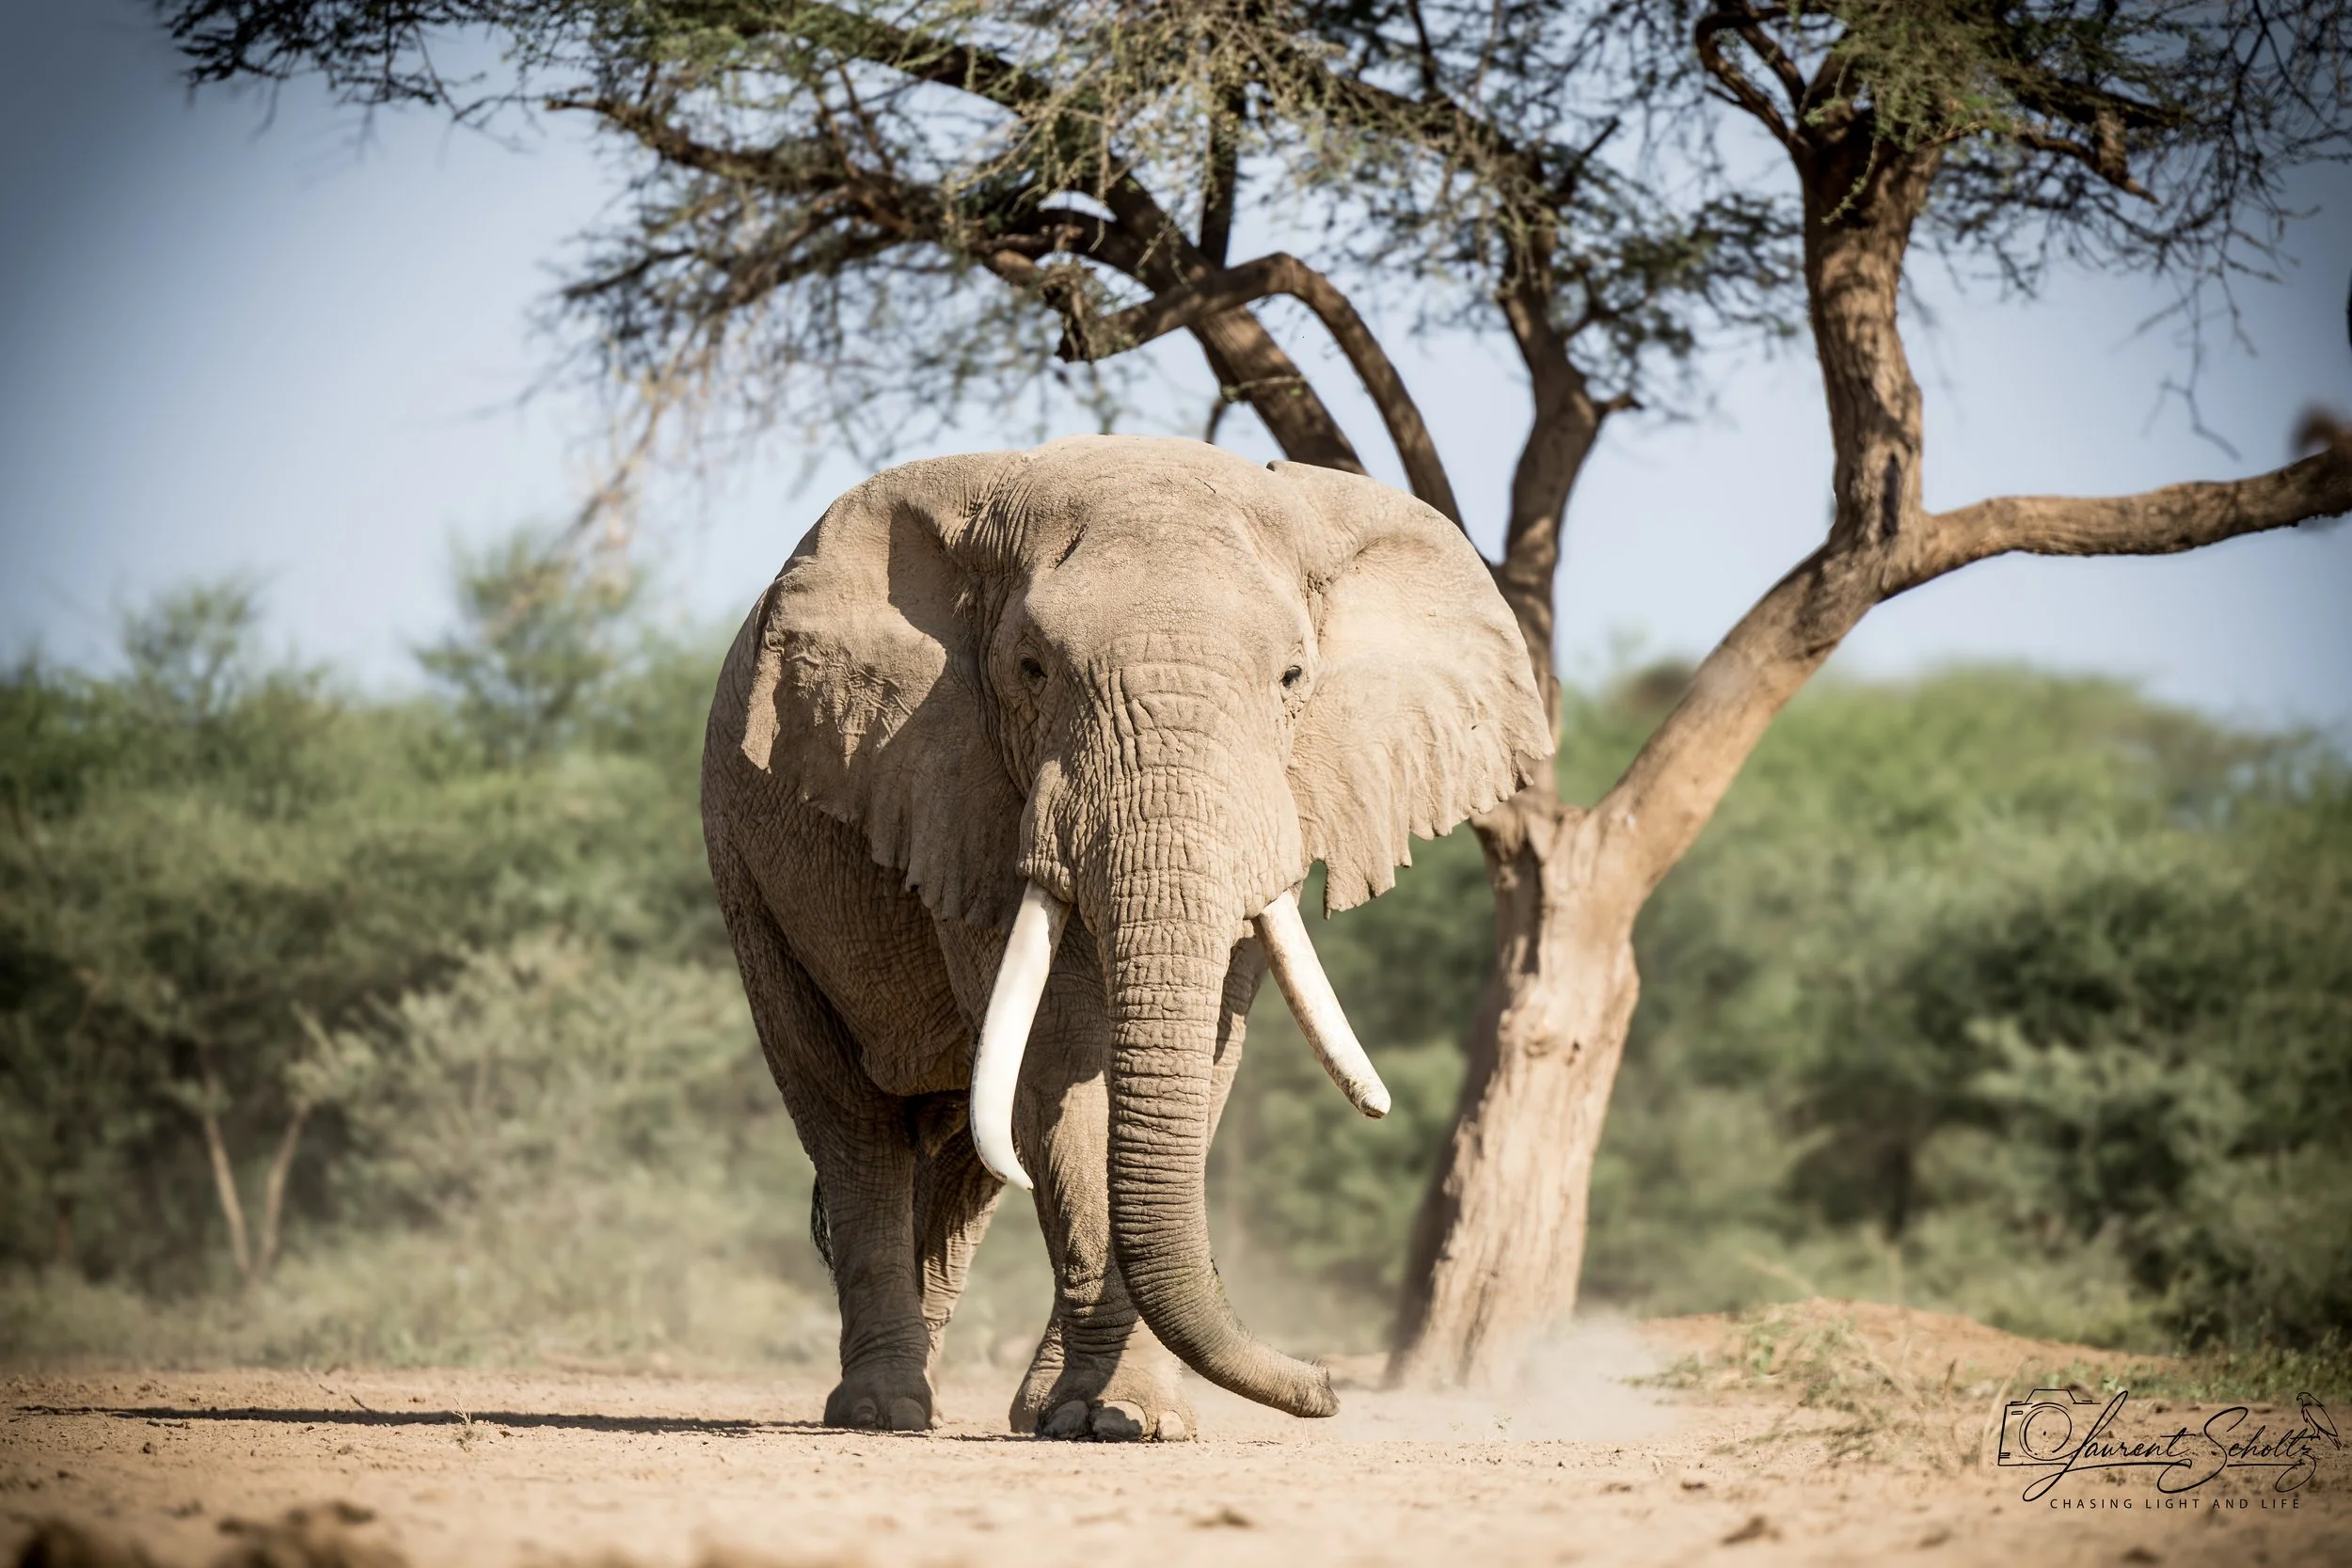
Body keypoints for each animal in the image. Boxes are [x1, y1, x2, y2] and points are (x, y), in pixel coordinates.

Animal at [700, 434, 1551, 1439]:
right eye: (1032, 669)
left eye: (1293, 679)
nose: (1327, 1387)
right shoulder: (964, 790)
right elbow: (1063, 1057)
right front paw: (1115, 1419)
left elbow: (1200, 1054)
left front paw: (1120, 1420)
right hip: (745, 869)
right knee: (850, 1115)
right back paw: (882, 1410)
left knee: (969, 1151)